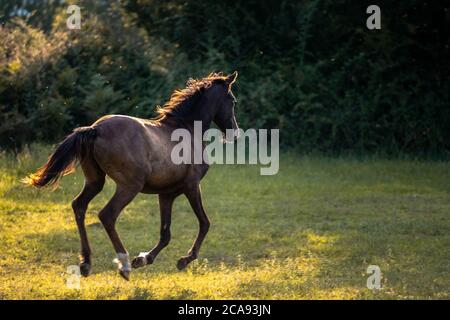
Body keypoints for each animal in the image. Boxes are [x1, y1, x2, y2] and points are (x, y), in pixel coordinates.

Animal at [25, 71, 241, 278]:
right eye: (232, 100)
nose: (235, 133)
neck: (186, 129)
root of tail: (95, 129)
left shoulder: (166, 194)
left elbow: (166, 233)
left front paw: (143, 259)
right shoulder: (192, 186)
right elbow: (204, 223)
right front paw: (184, 260)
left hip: (95, 181)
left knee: (79, 206)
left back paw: (86, 263)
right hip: (130, 186)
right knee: (107, 215)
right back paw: (124, 266)